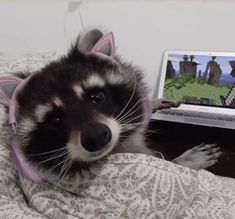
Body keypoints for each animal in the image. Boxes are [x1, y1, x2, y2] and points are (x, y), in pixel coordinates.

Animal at [0, 29, 221, 183]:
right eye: (55, 119)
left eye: (96, 97)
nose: (96, 136)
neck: (116, 145)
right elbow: (171, 167)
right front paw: (185, 161)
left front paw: (152, 102)